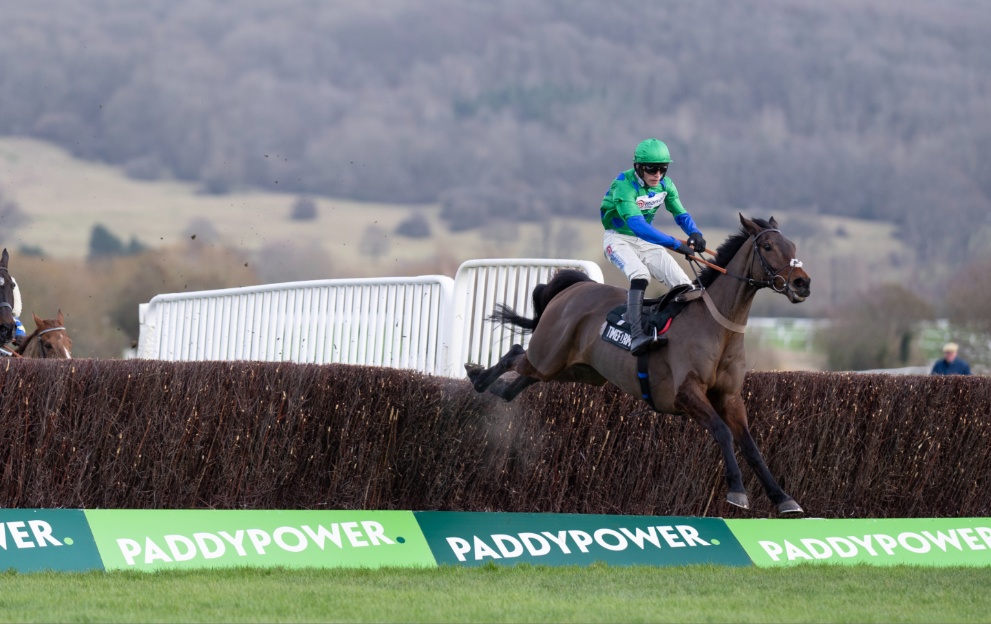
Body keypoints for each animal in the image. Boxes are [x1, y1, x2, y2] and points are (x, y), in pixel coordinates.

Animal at [468, 214, 808, 516]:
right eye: (767, 247)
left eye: (793, 246)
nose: (802, 283)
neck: (717, 327)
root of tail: (575, 287)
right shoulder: (686, 393)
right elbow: (723, 432)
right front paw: (737, 491)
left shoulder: (730, 397)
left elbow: (751, 446)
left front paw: (783, 498)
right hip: (549, 355)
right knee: (514, 354)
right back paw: (477, 376)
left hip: (575, 370)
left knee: (519, 381)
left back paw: (493, 386)